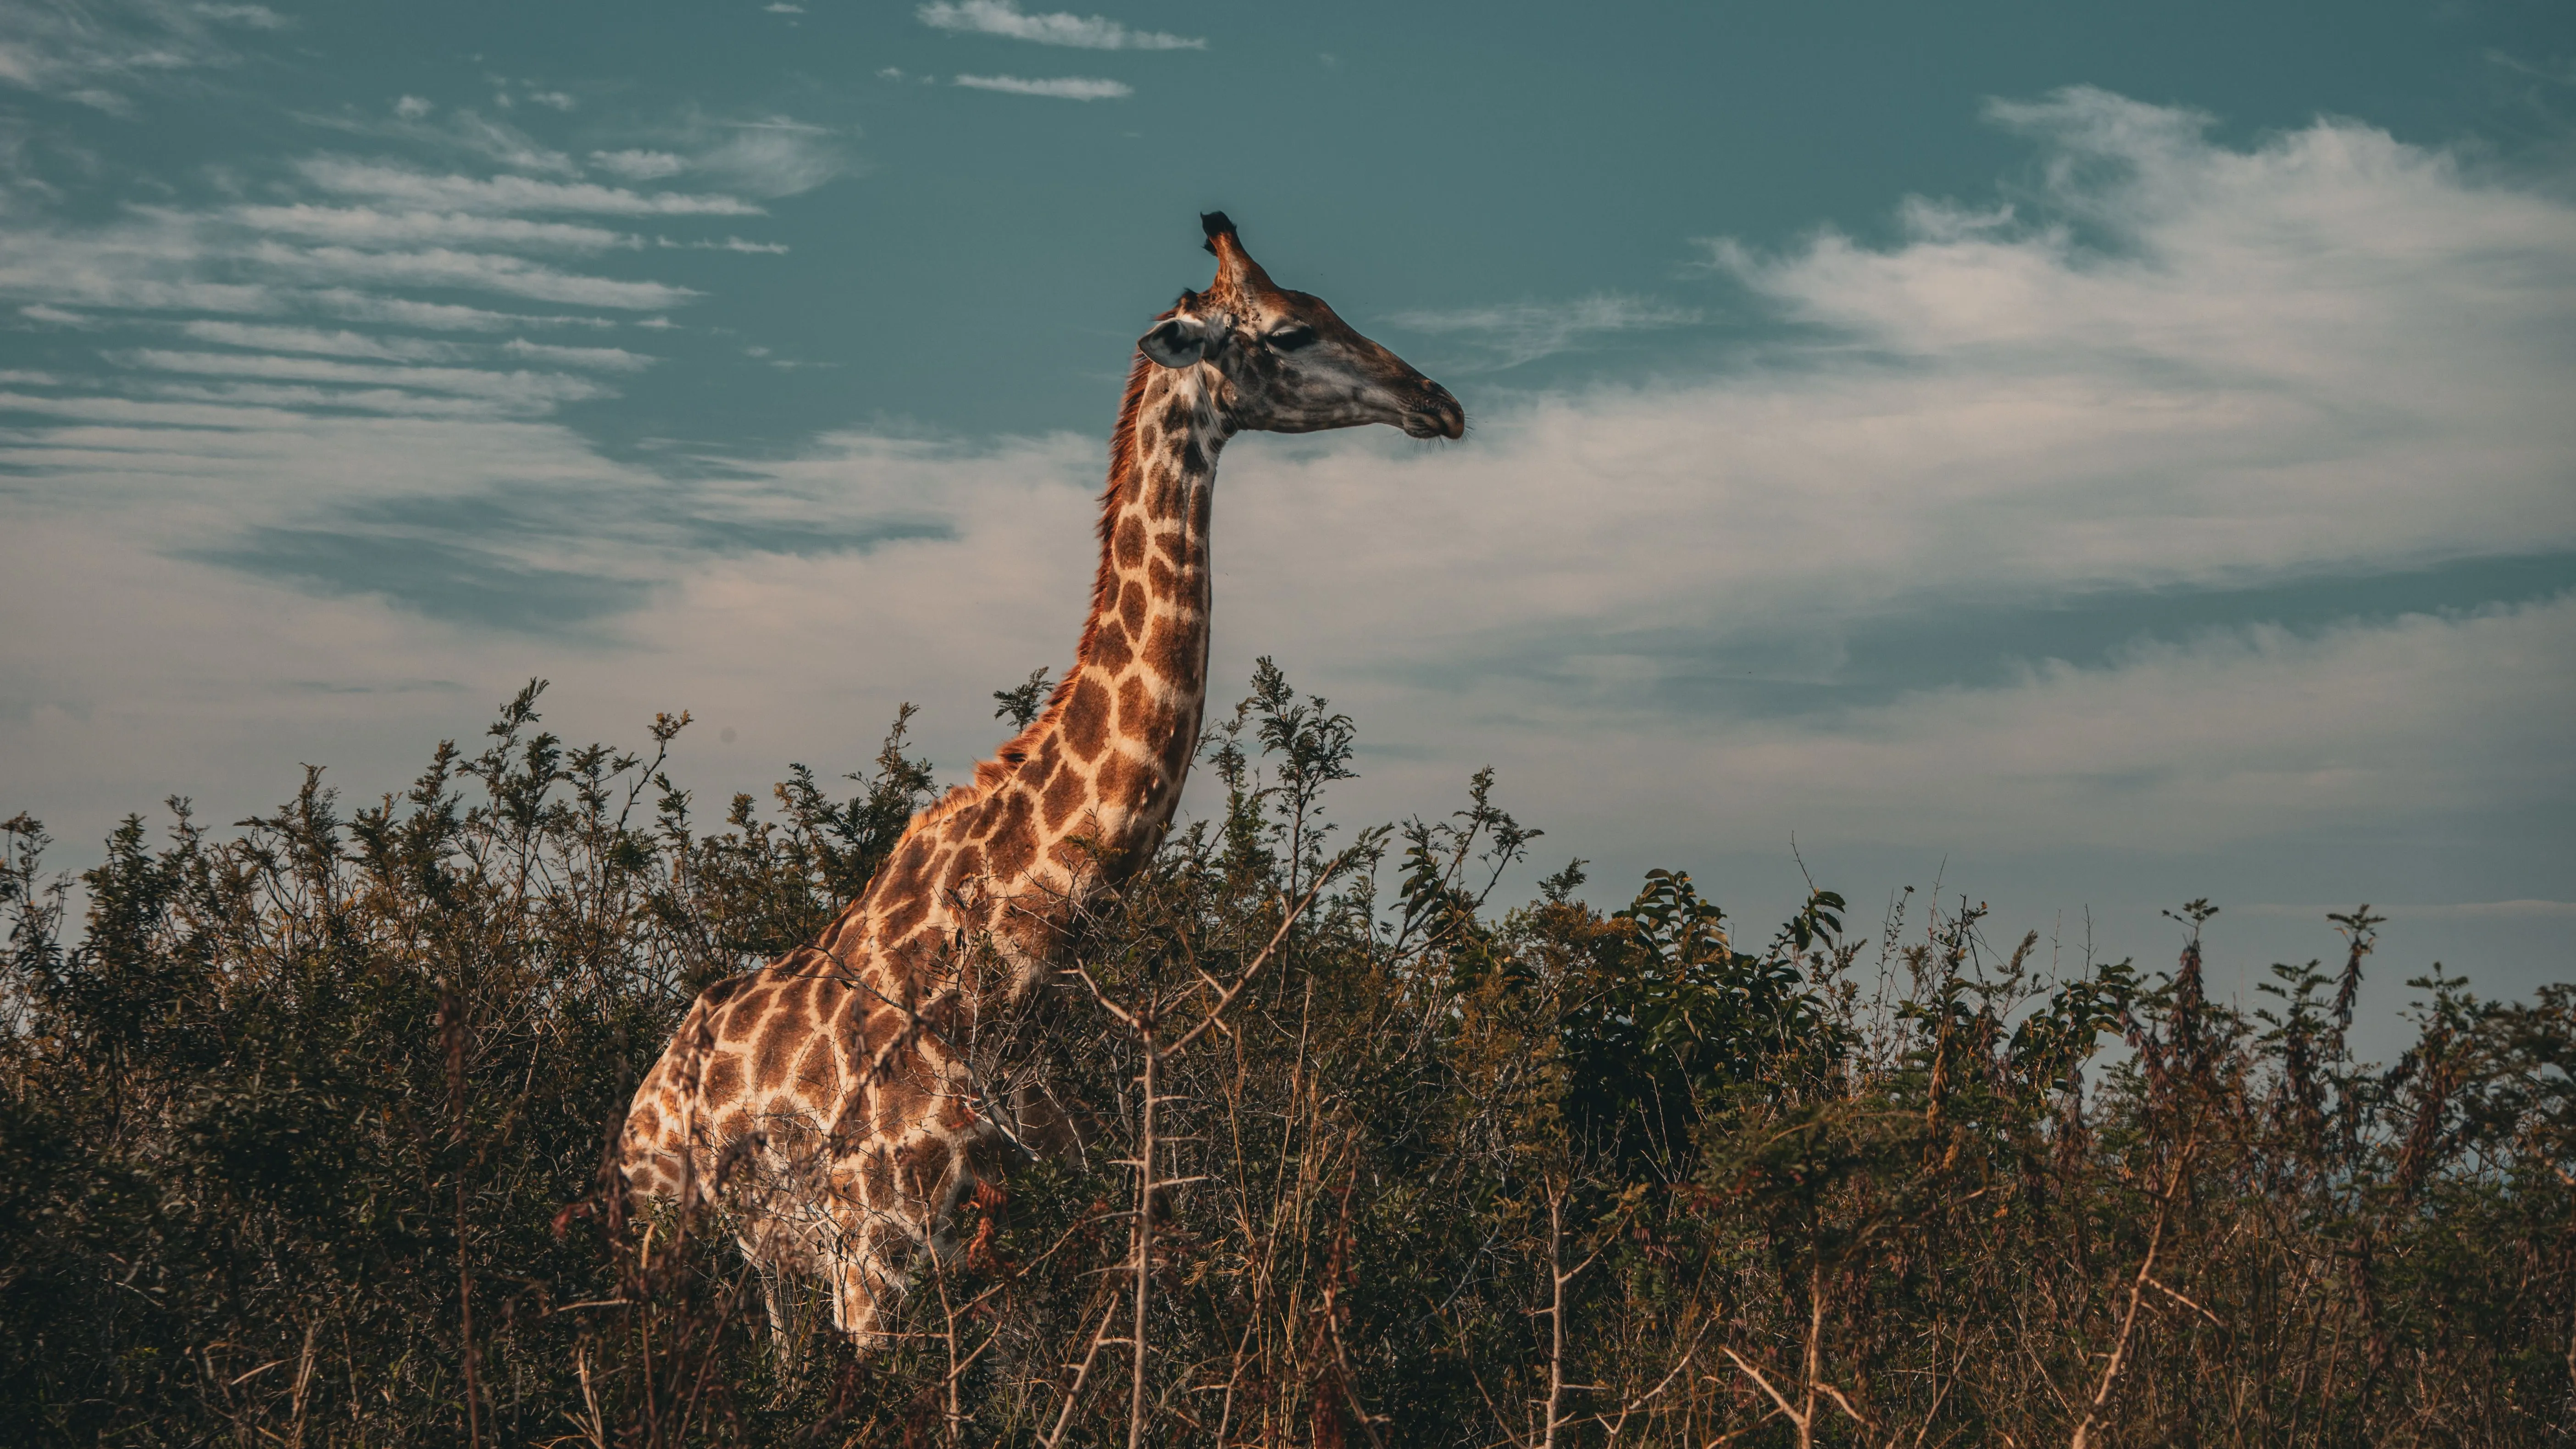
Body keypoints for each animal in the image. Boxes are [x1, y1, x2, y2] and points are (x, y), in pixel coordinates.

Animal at [617, 212, 1465, 1348]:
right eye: (1290, 332)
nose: (1437, 401)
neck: (1026, 967)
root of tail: (647, 1083)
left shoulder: (1022, 1254)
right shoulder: (875, 1264)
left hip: (771, 1272)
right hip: (662, 1234)